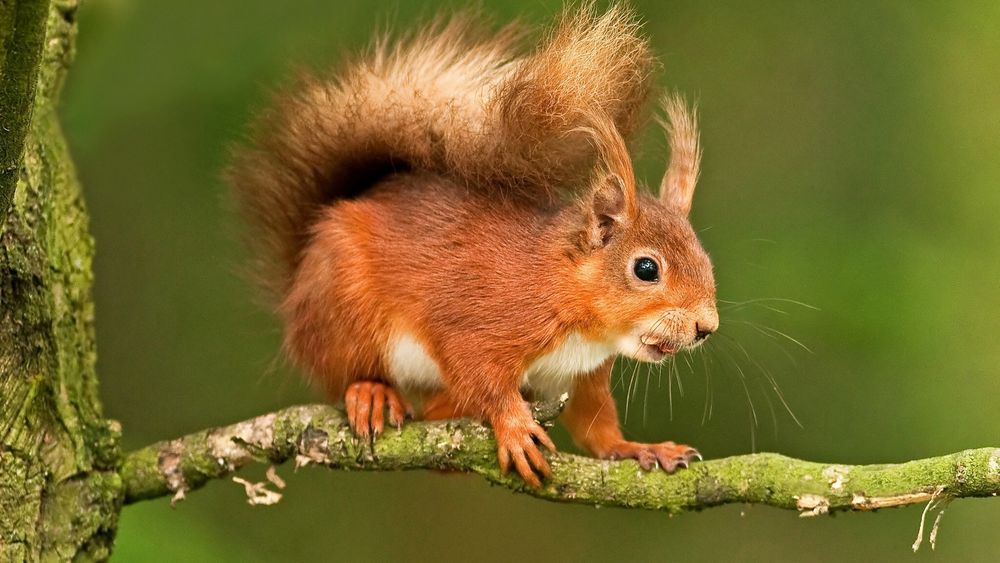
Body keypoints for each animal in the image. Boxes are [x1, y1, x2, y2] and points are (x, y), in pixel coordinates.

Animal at [227, 4, 718, 487]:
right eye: (646, 269)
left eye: (706, 262)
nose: (705, 327)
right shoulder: (481, 320)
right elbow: (479, 374)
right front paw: (514, 426)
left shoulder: (579, 376)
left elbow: (596, 428)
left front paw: (639, 448)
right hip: (343, 309)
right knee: (347, 373)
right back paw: (372, 392)